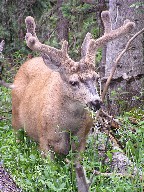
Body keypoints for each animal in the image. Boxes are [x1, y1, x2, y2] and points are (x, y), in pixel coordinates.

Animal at [11, 11, 135, 159]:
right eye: (73, 82)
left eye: (96, 77)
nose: (96, 102)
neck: (67, 127)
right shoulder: (43, 139)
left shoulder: (82, 140)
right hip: (16, 119)